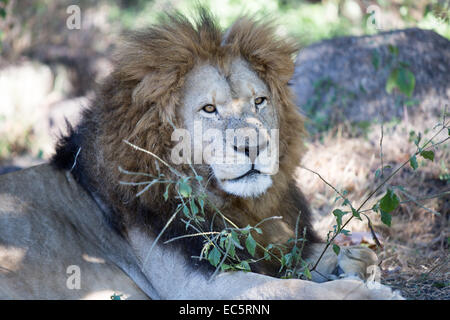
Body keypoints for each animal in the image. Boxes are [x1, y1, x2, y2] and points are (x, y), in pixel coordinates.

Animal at [0, 10, 400, 300]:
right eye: (209, 109)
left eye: (260, 101)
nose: (254, 146)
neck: (229, 203)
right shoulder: (197, 283)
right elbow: (289, 287)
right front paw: (368, 292)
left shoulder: (266, 245)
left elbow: (322, 258)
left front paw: (356, 261)